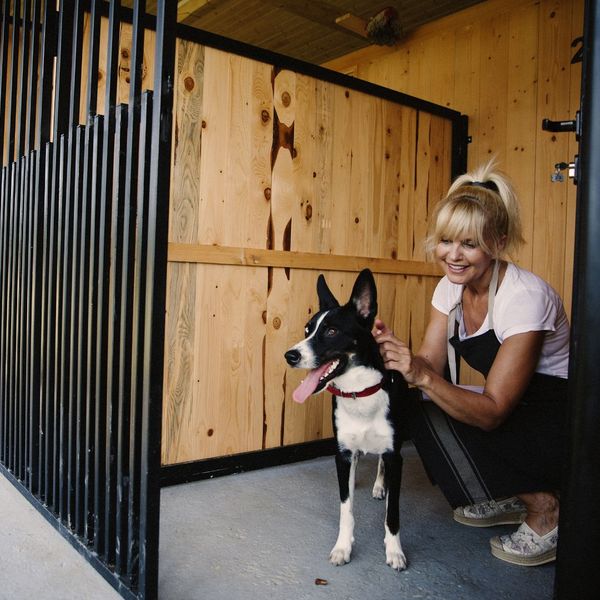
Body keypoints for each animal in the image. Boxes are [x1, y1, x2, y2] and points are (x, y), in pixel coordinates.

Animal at [284, 270, 408, 568]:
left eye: (331, 331)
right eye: (307, 330)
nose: (290, 356)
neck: (359, 393)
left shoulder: (394, 454)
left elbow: (393, 512)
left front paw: (394, 550)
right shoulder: (342, 454)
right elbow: (346, 508)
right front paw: (343, 547)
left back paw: (380, 486)